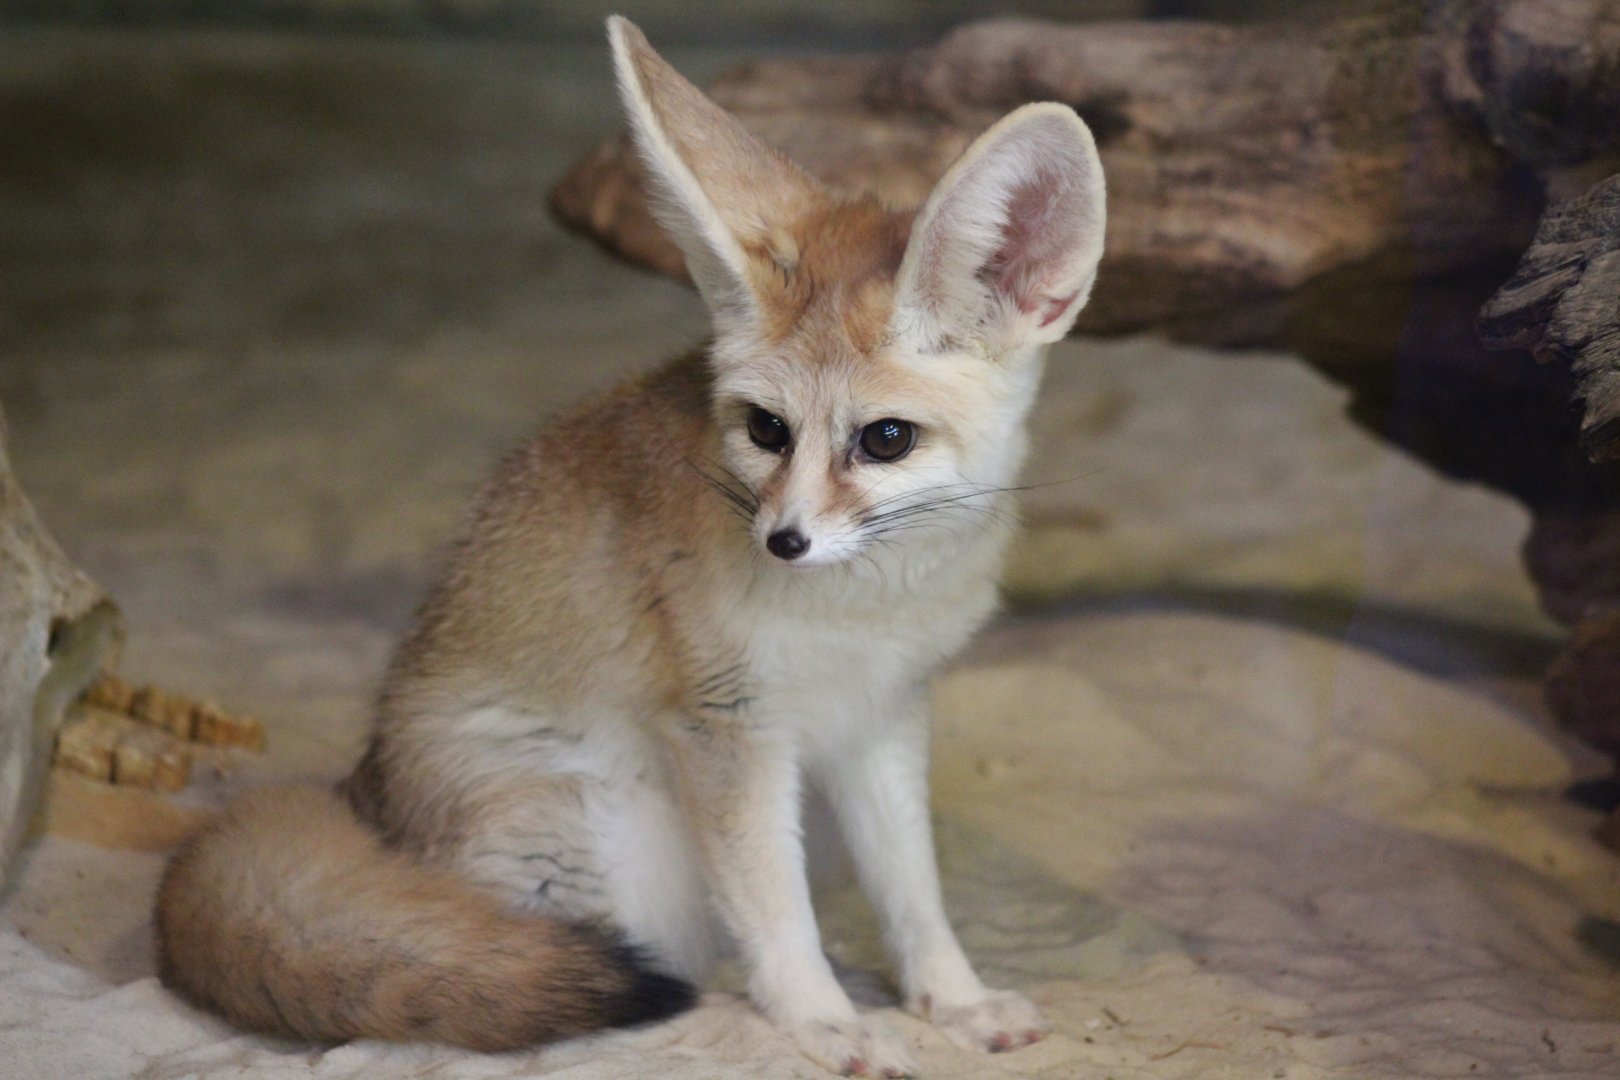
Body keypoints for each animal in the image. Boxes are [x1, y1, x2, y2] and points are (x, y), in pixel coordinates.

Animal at [154, 15, 1105, 1078]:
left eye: (885, 439)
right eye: (767, 430)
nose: (783, 541)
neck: (871, 609)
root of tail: (364, 794)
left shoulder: (881, 718)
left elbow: (914, 890)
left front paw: (955, 999)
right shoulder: (728, 731)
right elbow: (777, 914)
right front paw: (822, 1020)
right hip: (616, 845)